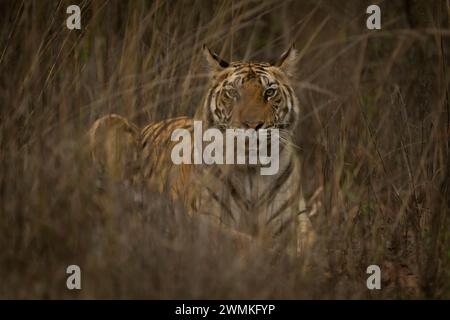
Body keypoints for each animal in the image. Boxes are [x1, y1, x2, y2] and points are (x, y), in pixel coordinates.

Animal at [89, 45, 316, 258]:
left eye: (269, 92)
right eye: (233, 93)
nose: (253, 125)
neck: (252, 171)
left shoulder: (297, 222)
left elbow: (309, 248)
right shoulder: (201, 219)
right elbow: (245, 241)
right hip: (109, 121)